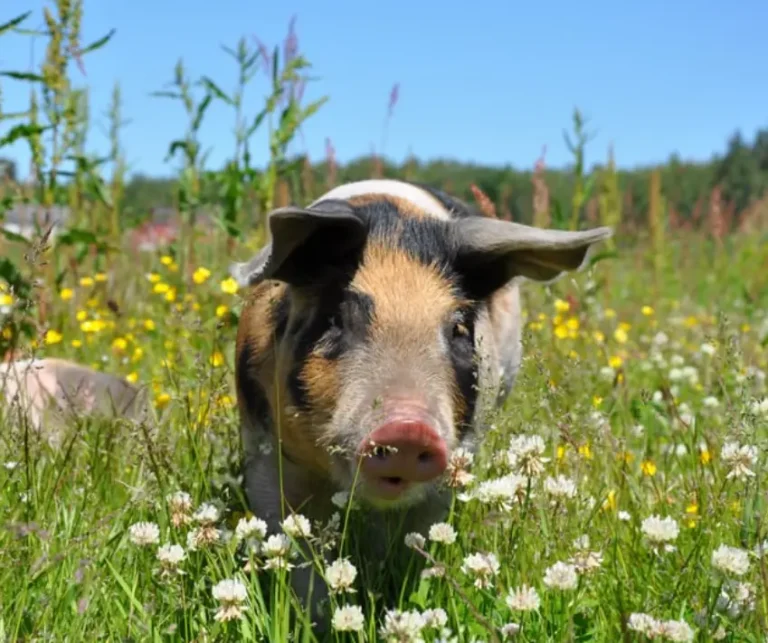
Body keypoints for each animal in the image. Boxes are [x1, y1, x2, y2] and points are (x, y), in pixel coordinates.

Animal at [230, 179, 612, 628]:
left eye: (459, 327)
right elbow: (294, 548)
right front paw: (313, 621)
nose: (408, 429)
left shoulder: (453, 462)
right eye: (336, 318)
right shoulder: (263, 448)